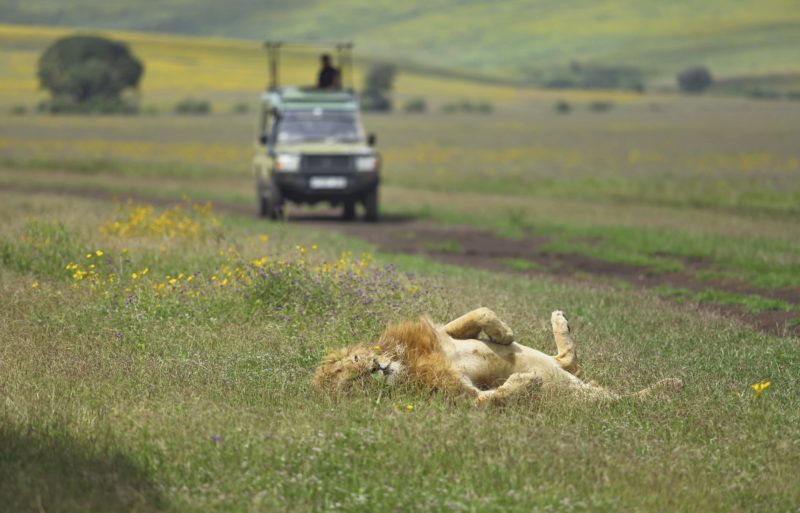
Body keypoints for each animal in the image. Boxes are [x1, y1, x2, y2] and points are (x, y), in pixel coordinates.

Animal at [312, 308, 680, 404]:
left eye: (355, 364)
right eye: (353, 383)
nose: (376, 368)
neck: (407, 363)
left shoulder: (444, 335)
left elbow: (478, 315)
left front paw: (503, 332)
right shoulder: (462, 396)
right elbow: (492, 398)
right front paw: (526, 381)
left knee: (568, 360)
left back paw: (560, 320)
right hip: (589, 399)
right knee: (623, 400)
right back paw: (669, 386)